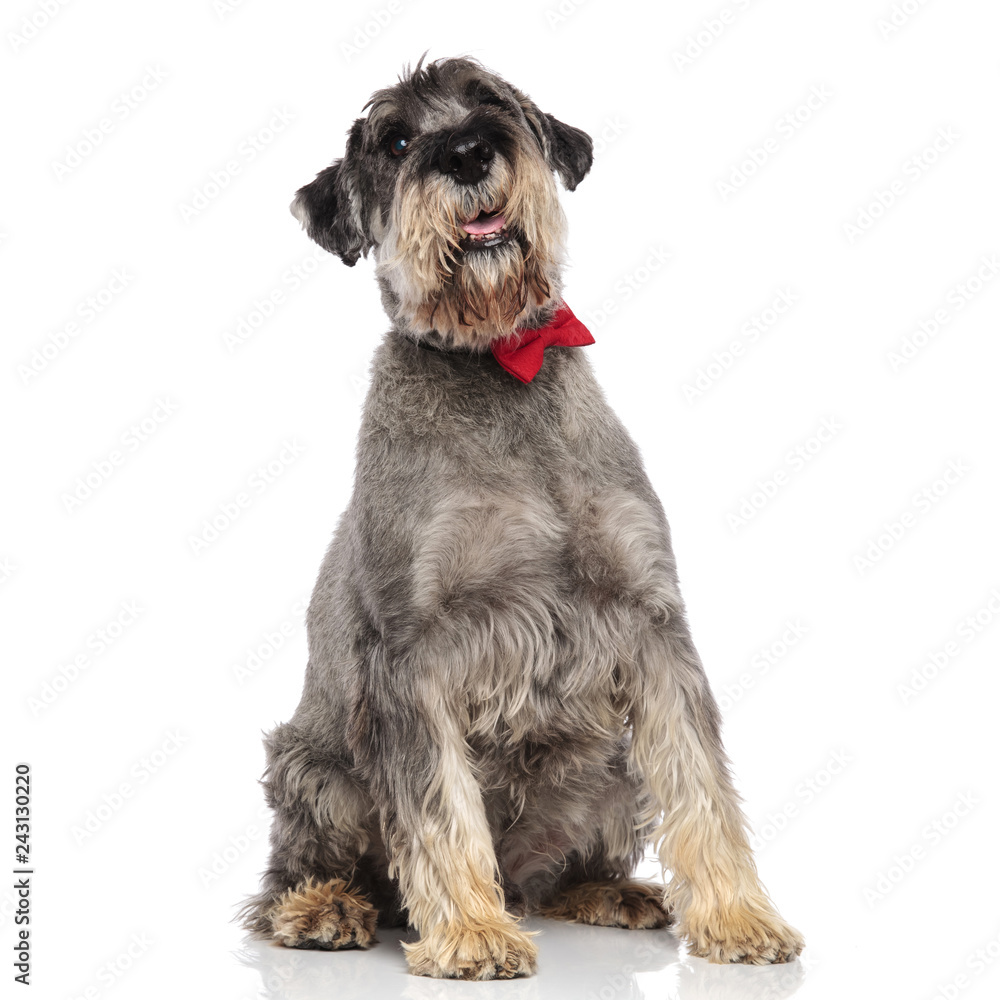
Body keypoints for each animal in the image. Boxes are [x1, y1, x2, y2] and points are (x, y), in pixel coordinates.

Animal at [240, 52, 804, 976]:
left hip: (609, 764)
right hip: (313, 767)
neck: (500, 364)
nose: (469, 152)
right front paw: (471, 932)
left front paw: (738, 917)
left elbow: (701, 780)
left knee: (554, 872)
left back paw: (607, 890)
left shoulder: (649, 619)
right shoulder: (413, 649)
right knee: (296, 872)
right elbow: (438, 806)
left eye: (490, 100)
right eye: (396, 141)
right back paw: (324, 908)